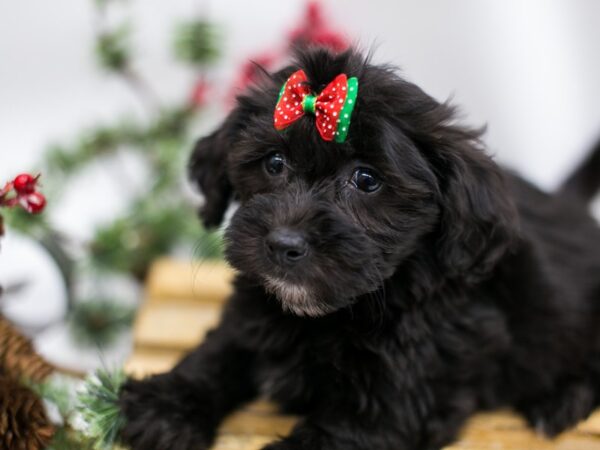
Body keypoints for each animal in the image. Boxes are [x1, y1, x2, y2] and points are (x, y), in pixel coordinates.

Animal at [119, 49, 600, 450]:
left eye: (366, 180)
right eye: (274, 163)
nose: (283, 244)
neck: (329, 317)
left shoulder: (398, 397)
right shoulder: (251, 313)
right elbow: (217, 352)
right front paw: (164, 407)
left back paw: (561, 402)